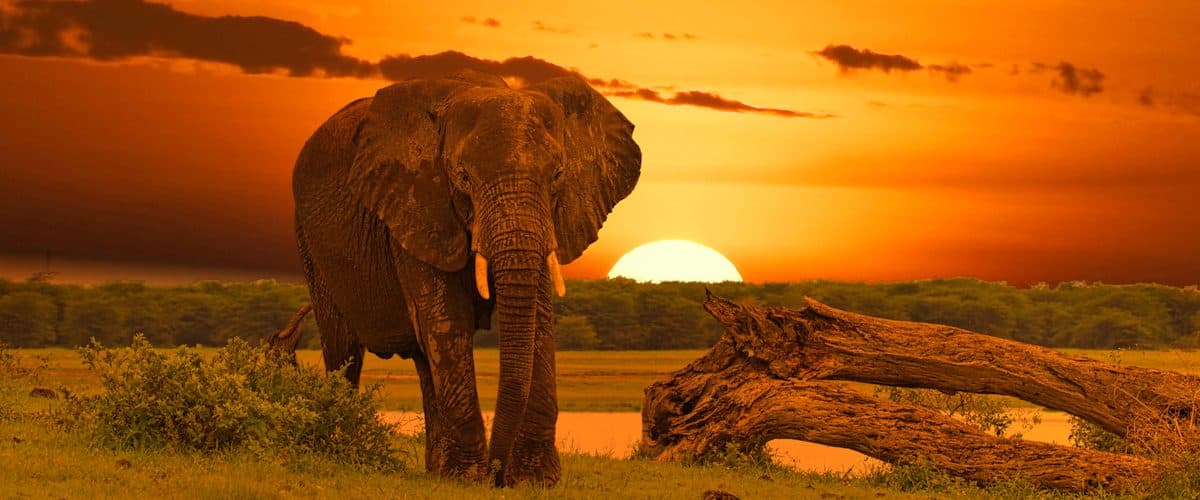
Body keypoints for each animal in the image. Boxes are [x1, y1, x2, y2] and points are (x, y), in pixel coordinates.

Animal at [288, 70, 641, 486]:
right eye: (463, 177)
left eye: (557, 175)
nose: (497, 475)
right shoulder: (416, 203)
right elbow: (446, 318)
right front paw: (469, 478)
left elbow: (539, 320)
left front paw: (533, 480)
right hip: (309, 242)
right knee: (344, 351)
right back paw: (345, 453)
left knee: (423, 361)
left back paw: (435, 469)